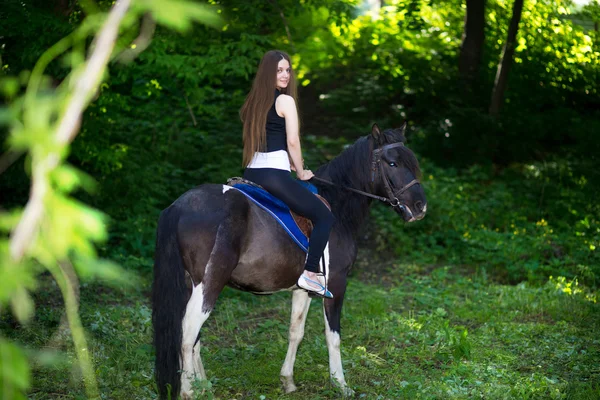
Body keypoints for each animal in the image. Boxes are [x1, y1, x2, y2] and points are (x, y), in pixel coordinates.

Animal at [152, 123, 428, 398]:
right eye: (392, 163)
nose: (420, 206)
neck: (338, 206)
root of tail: (179, 206)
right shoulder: (337, 284)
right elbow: (333, 335)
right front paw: (340, 383)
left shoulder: (303, 289)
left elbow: (296, 331)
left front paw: (288, 381)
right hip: (208, 284)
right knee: (187, 335)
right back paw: (189, 391)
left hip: (190, 286)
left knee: (193, 336)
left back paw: (203, 385)